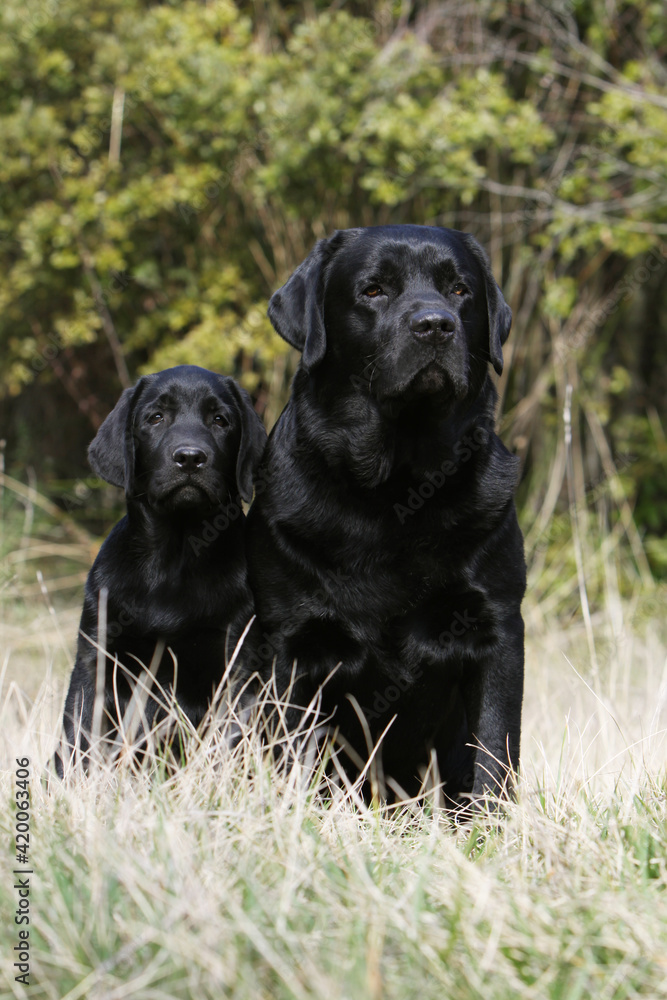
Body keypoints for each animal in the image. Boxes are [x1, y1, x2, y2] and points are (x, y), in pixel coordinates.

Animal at [56, 366, 266, 772]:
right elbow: (80, 740)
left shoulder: (235, 663)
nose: (190, 458)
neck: (175, 558)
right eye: (155, 417)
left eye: (220, 420)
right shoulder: (96, 659)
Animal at [248, 227, 528, 804]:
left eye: (460, 290)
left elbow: (493, 750)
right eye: (373, 290)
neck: (397, 484)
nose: (436, 325)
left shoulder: (497, 627)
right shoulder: (290, 641)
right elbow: (293, 756)